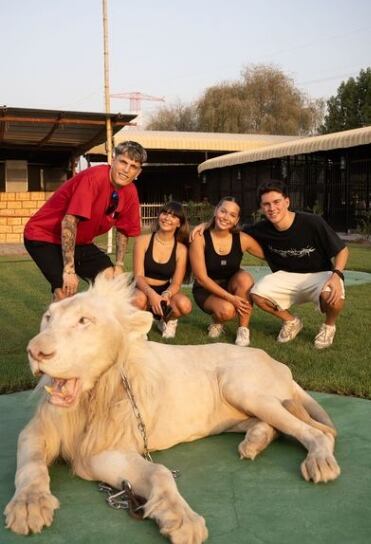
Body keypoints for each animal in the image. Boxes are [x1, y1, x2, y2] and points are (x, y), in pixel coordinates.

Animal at [4, 274, 342, 540]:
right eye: (48, 318)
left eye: (84, 321)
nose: (35, 352)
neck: (93, 396)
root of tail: (279, 363)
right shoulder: (43, 435)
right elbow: (31, 465)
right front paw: (29, 505)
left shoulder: (100, 449)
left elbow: (161, 472)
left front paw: (182, 520)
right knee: (271, 427)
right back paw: (253, 444)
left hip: (242, 387)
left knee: (316, 433)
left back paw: (319, 462)